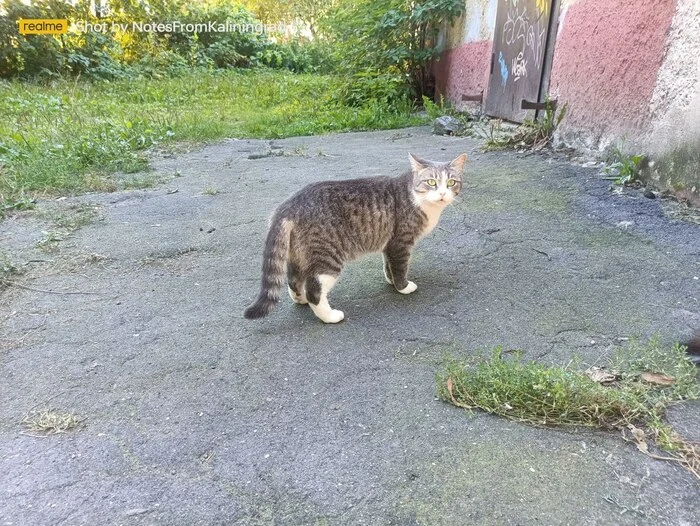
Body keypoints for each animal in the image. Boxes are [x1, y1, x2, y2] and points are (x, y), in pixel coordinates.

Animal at [243, 153, 468, 324]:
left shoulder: (389, 243)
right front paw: (403, 287)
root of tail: (288, 206)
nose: (442, 193)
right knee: (314, 289)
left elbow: (388, 265)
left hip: (298, 254)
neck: (415, 195)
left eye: (451, 182)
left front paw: (391, 281)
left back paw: (301, 299)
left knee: (294, 279)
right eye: (431, 182)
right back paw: (330, 316)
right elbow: (400, 266)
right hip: (328, 257)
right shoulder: (401, 242)